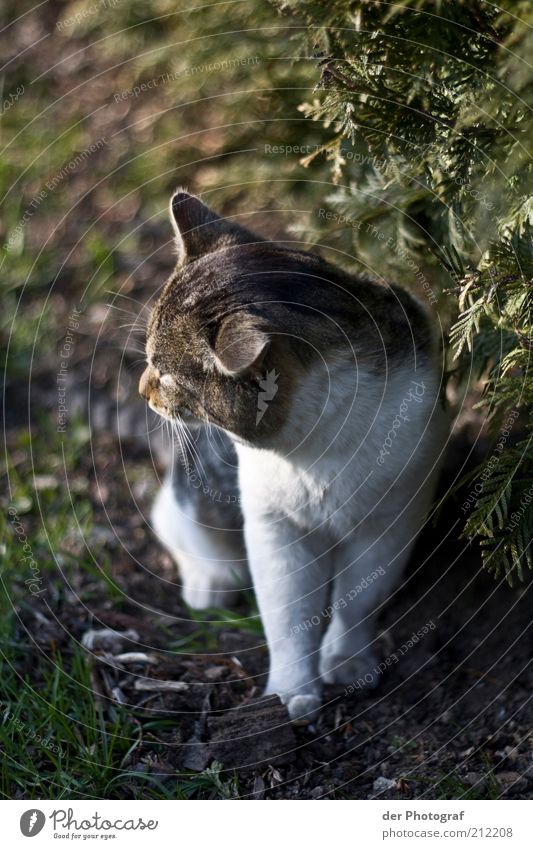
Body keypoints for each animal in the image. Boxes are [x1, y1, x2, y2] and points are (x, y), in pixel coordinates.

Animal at [139, 189, 446, 720]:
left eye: (167, 373)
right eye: (149, 359)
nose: (142, 390)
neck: (315, 449)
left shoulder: (393, 518)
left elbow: (360, 600)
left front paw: (346, 662)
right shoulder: (273, 524)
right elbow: (287, 614)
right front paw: (290, 692)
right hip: (202, 493)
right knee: (175, 518)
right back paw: (210, 580)